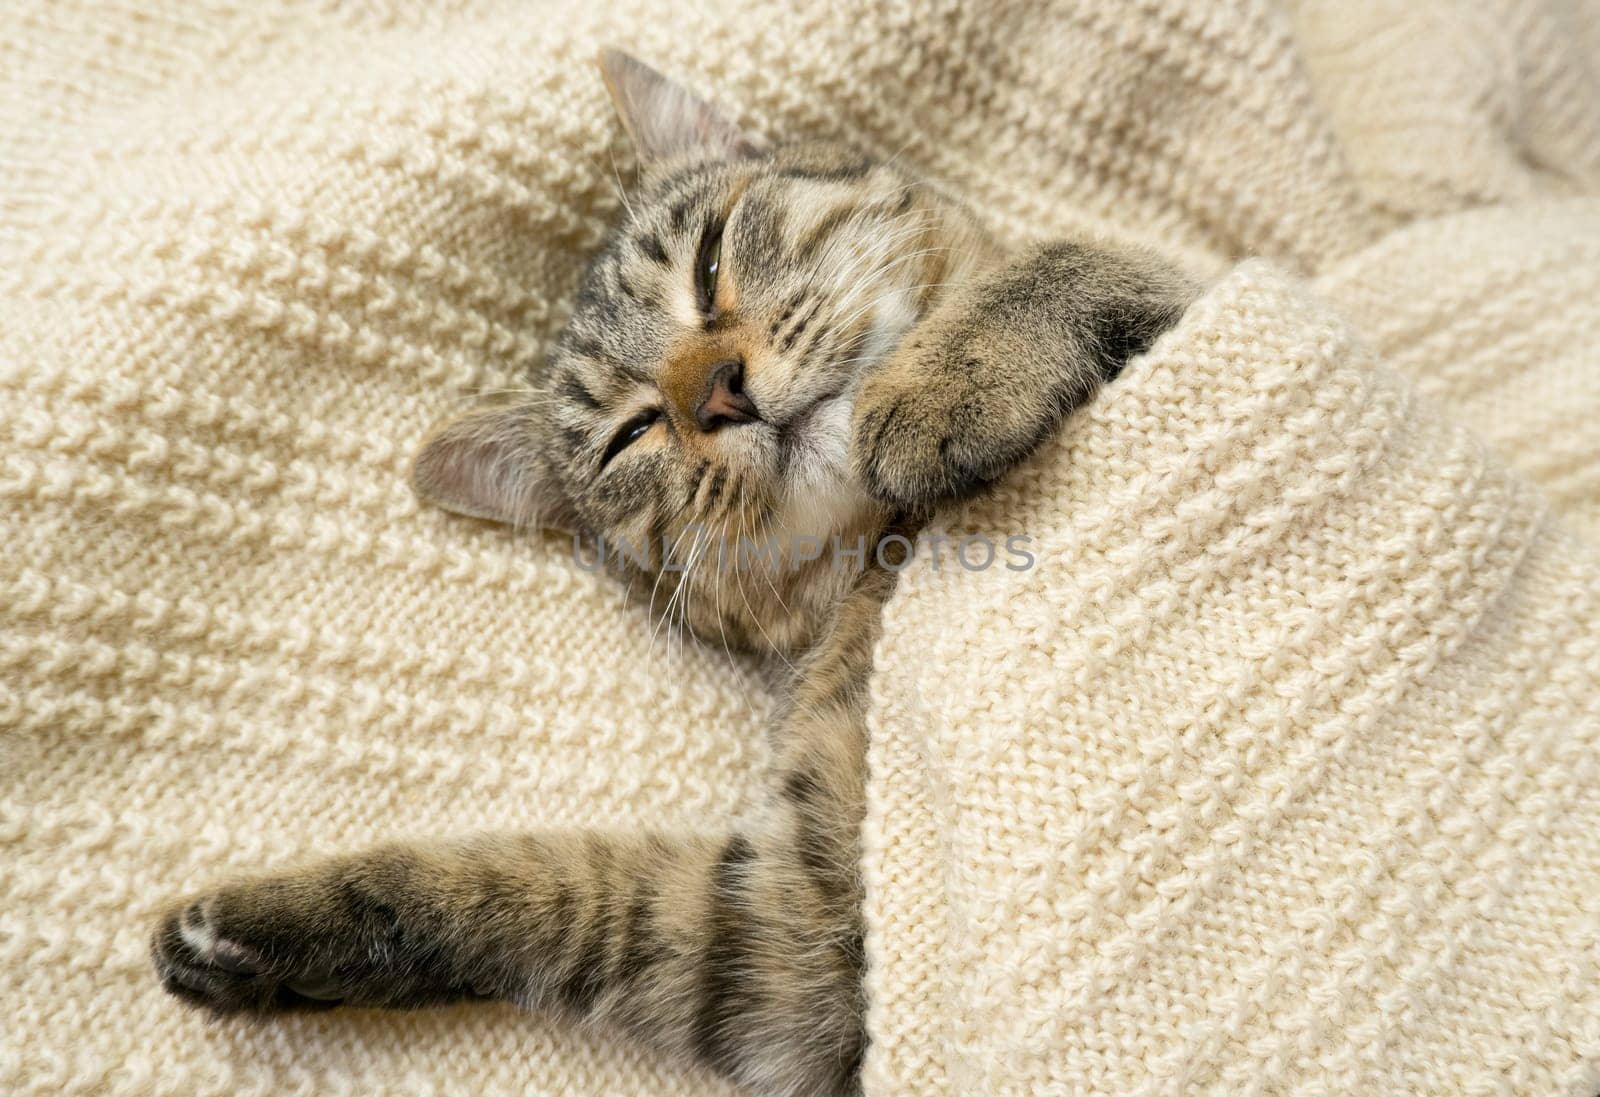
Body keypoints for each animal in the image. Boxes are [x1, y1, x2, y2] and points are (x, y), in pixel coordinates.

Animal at [150, 47, 1196, 1093]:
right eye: (631, 434)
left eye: (710, 262)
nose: (720, 391)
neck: (887, 542)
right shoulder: (795, 934)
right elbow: (548, 885)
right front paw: (257, 934)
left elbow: (1075, 261)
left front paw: (945, 381)